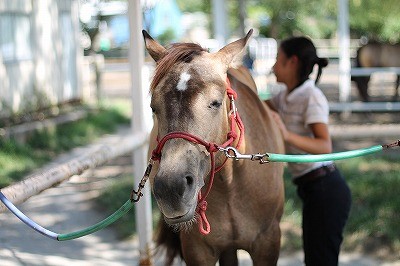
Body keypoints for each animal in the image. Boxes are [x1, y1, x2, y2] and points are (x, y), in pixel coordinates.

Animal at [144, 29, 284, 266]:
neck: (231, 183)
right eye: (154, 107)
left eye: (216, 102)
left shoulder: (267, 242)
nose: (171, 187)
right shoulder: (197, 249)